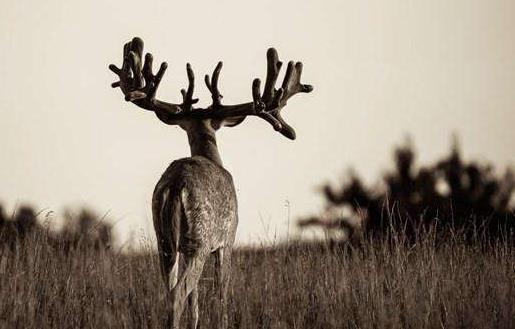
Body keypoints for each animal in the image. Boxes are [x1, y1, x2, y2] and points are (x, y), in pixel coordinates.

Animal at [108, 37, 314, 328]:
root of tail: (176, 184)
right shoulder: (228, 239)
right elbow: (221, 298)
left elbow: (195, 305)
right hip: (200, 239)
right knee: (178, 294)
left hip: (164, 240)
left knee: (170, 291)